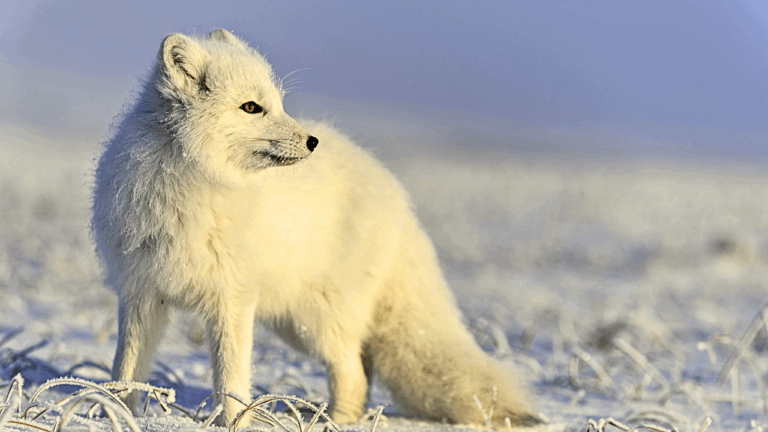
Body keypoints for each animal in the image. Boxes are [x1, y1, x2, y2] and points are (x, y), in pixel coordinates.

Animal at [91, 29, 542, 429]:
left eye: (277, 104)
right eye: (251, 107)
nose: (312, 142)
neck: (192, 187)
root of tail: (396, 194)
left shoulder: (232, 300)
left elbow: (231, 379)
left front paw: (232, 423)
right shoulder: (141, 295)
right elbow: (125, 369)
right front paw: (115, 414)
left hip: (317, 321)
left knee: (353, 372)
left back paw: (335, 422)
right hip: (294, 323)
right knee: (363, 367)